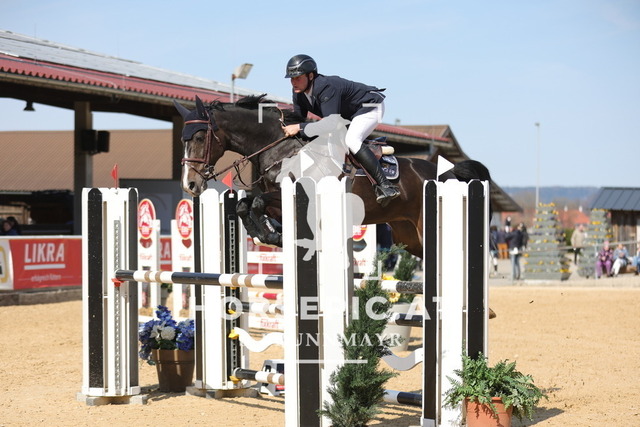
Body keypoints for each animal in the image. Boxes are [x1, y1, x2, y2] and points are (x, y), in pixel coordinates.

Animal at [173, 95, 491, 258]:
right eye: (183, 139)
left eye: (199, 137)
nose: (190, 184)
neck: (279, 147)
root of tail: (448, 173)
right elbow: (244, 204)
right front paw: (267, 234)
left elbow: (257, 203)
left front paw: (271, 234)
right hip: (409, 236)